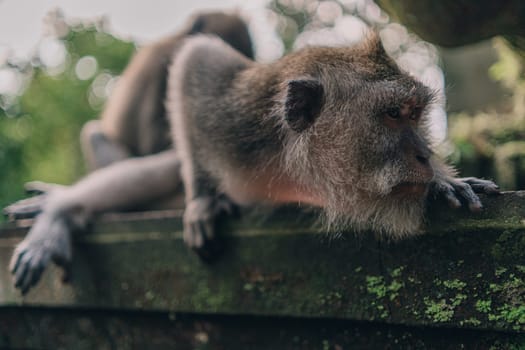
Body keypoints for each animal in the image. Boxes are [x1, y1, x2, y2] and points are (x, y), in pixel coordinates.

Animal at [6, 17, 496, 296]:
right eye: (393, 115)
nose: (425, 155)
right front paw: (203, 202)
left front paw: (446, 181)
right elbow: (195, 62)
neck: (299, 166)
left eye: (415, 114)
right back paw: (59, 210)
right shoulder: (238, 120)